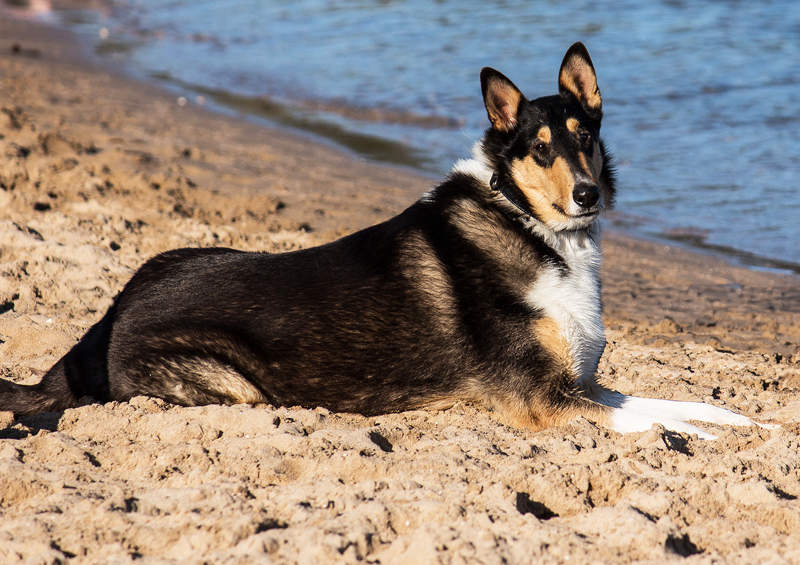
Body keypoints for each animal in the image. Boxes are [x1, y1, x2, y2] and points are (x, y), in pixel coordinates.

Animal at [1, 45, 768, 440]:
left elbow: (677, 403)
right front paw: (698, 440)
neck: (528, 223)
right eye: (541, 148)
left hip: (178, 251)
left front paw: (741, 422)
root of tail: (106, 321)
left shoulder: (578, 381)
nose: (588, 195)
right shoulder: (545, 399)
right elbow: (646, 419)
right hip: (232, 390)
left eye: (586, 139)